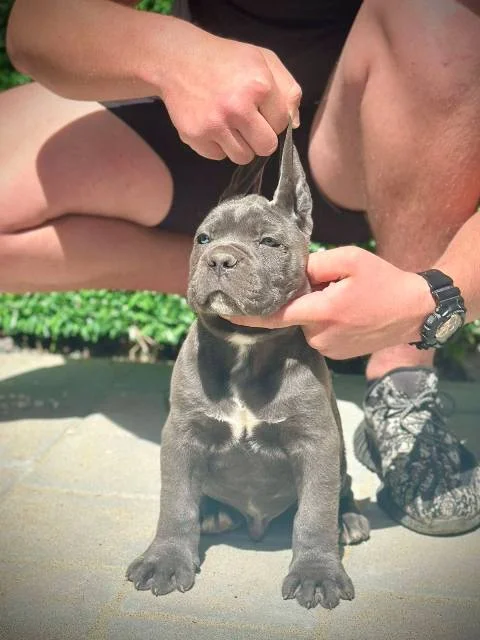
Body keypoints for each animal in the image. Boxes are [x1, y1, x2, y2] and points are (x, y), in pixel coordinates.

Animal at [127, 122, 370, 610]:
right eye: (202, 238)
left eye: (269, 242)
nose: (220, 258)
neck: (245, 344)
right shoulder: (181, 435)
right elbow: (175, 503)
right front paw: (165, 559)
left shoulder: (317, 441)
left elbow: (314, 511)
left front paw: (317, 571)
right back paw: (214, 514)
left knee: (343, 486)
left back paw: (349, 520)